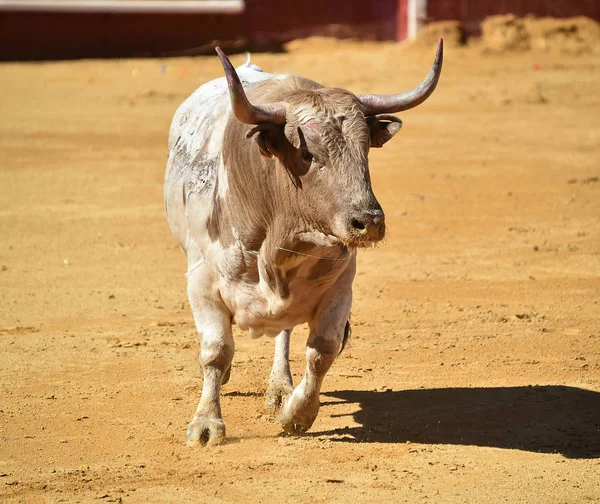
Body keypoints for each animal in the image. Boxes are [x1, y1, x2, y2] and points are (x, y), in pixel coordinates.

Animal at [162, 41, 442, 446]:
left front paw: (298, 413)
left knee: (285, 331)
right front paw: (206, 424)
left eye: (365, 150)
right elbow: (215, 351)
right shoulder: (201, 283)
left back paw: (280, 387)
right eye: (308, 153)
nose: (369, 222)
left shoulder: (339, 288)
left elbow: (321, 351)